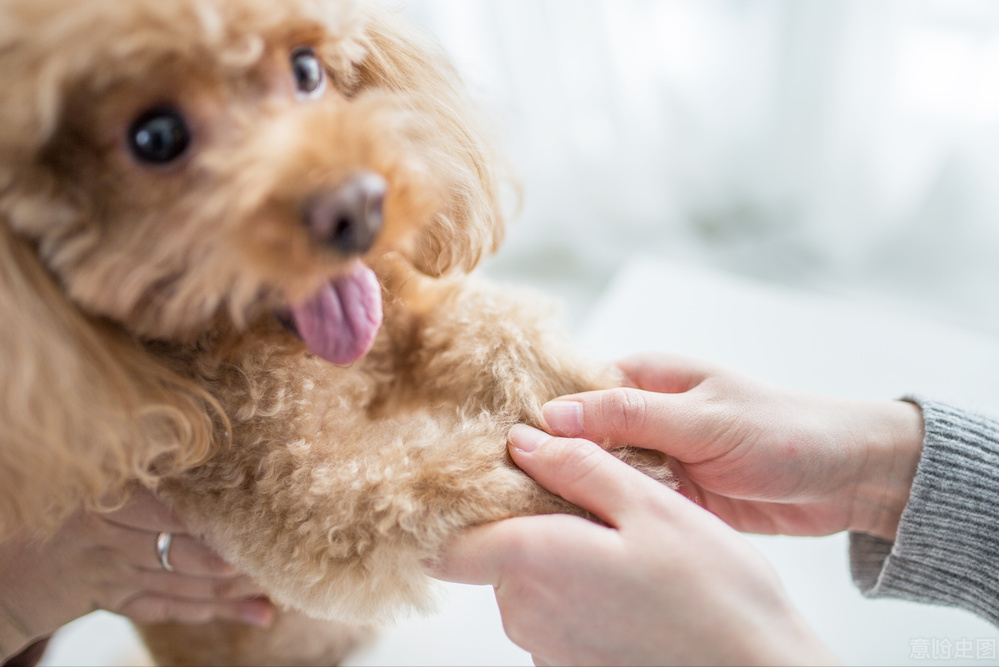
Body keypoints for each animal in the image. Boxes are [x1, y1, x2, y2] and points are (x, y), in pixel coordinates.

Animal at [0, 0, 672, 664]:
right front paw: (604, 474)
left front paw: (609, 422)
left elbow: (503, 335)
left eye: (306, 69)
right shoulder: (308, 492)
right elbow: (447, 477)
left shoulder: (409, 326)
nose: (359, 207)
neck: (306, 366)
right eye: (156, 137)